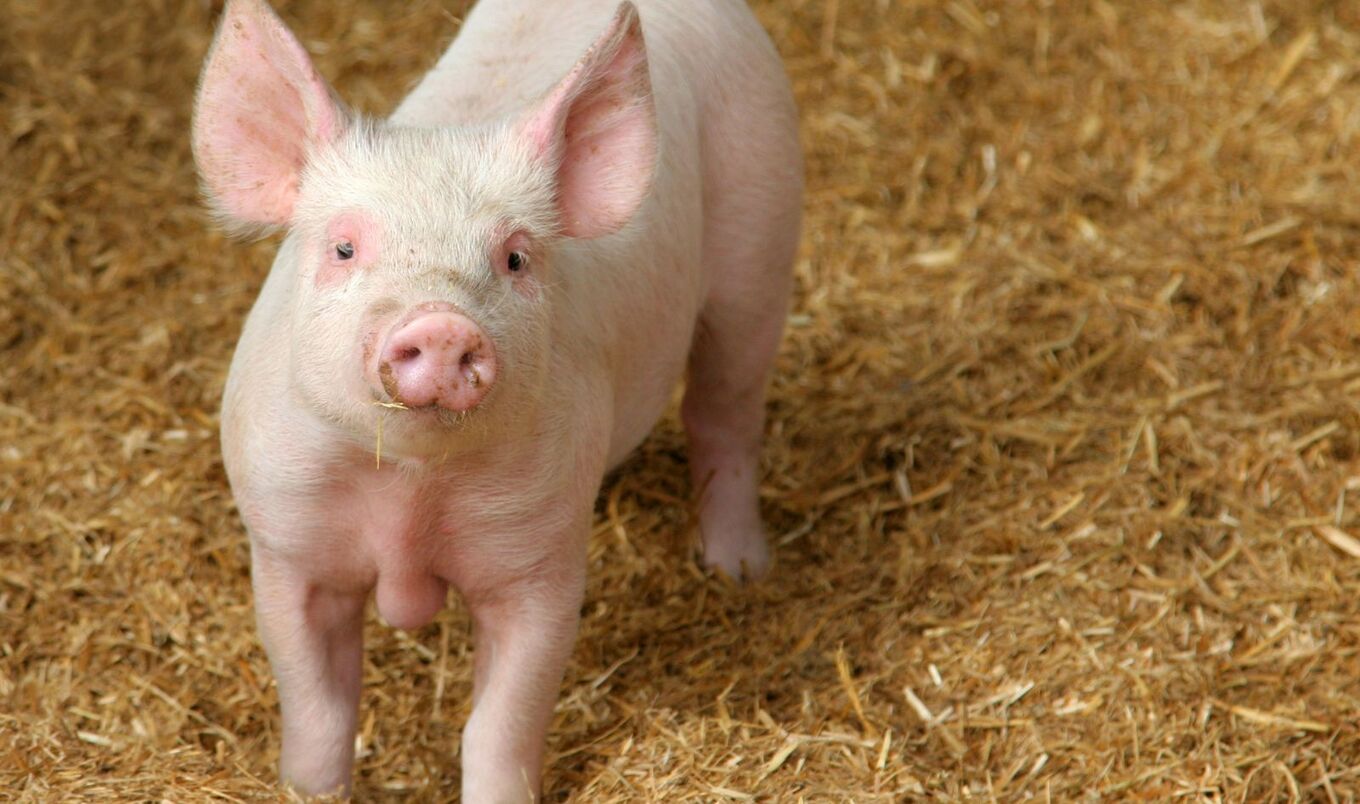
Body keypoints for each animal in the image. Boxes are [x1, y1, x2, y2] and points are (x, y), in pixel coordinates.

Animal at [192, 0, 802, 799]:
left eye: (514, 257)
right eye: (344, 248)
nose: (442, 324)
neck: (412, 491)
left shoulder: (535, 561)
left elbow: (499, 722)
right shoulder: (288, 546)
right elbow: (318, 710)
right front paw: (308, 786)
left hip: (760, 244)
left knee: (724, 414)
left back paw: (738, 571)